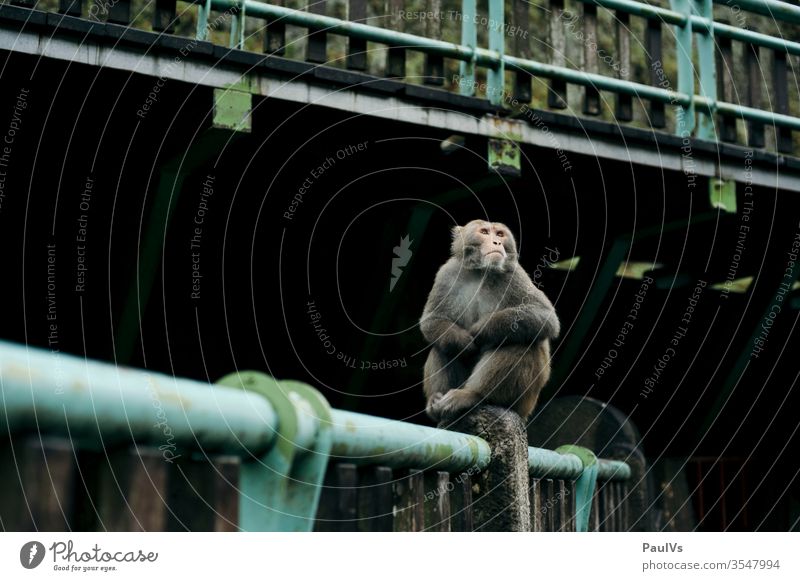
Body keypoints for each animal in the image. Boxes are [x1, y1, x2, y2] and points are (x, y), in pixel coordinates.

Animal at [418, 218, 564, 422]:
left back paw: (473, 395)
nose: (497, 242)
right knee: (442, 345)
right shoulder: (447, 273)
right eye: (485, 232)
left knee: (523, 343)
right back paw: (437, 403)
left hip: (523, 403)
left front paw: (481, 331)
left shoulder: (515, 275)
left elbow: (545, 317)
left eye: (500, 234)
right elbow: (433, 318)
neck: (481, 271)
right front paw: (461, 340)